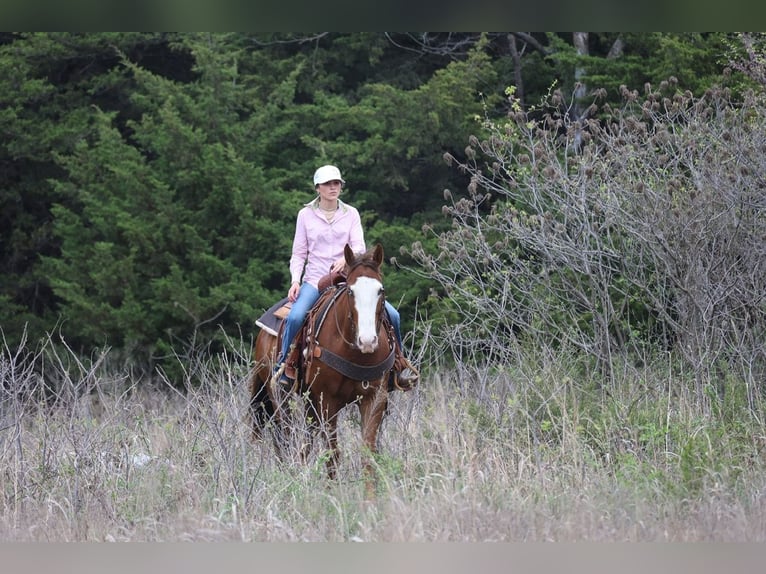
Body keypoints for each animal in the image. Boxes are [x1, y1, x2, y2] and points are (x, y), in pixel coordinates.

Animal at [248, 243, 395, 496]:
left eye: (380, 290)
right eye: (351, 292)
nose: (367, 341)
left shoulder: (374, 398)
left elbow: (368, 452)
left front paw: (370, 498)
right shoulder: (328, 401)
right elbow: (332, 453)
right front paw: (332, 492)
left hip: (309, 401)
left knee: (306, 441)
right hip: (277, 395)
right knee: (284, 436)